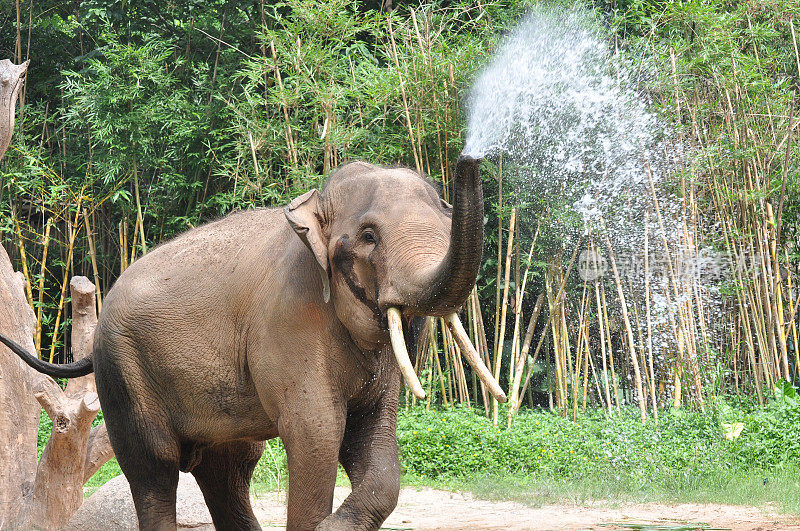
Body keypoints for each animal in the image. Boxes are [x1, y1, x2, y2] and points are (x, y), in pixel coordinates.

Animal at [3, 152, 506, 528]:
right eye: (368, 236)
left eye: (445, 218)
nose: (472, 155)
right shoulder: (289, 323)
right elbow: (316, 431)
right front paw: (321, 526)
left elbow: (374, 437)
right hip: (122, 372)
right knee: (155, 468)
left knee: (226, 468)